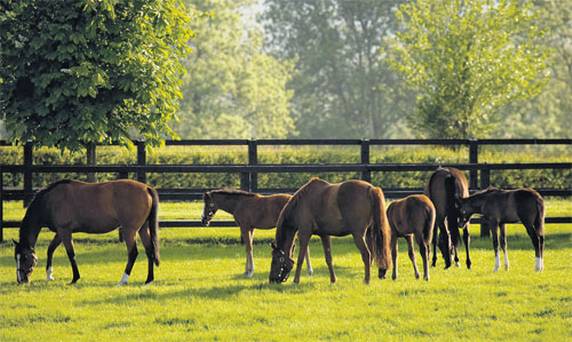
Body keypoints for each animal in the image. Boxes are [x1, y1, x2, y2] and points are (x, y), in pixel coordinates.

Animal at [13, 179, 161, 286]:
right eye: (16, 258)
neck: (50, 201)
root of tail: (146, 188)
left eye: (25, 257)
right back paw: (149, 280)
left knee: (133, 253)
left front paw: (75, 278)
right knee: (149, 251)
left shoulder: (65, 231)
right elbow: (50, 250)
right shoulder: (60, 232)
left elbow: (71, 254)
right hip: (142, 229)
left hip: (129, 230)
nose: (21, 280)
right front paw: (49, 275)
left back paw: (123, 280)